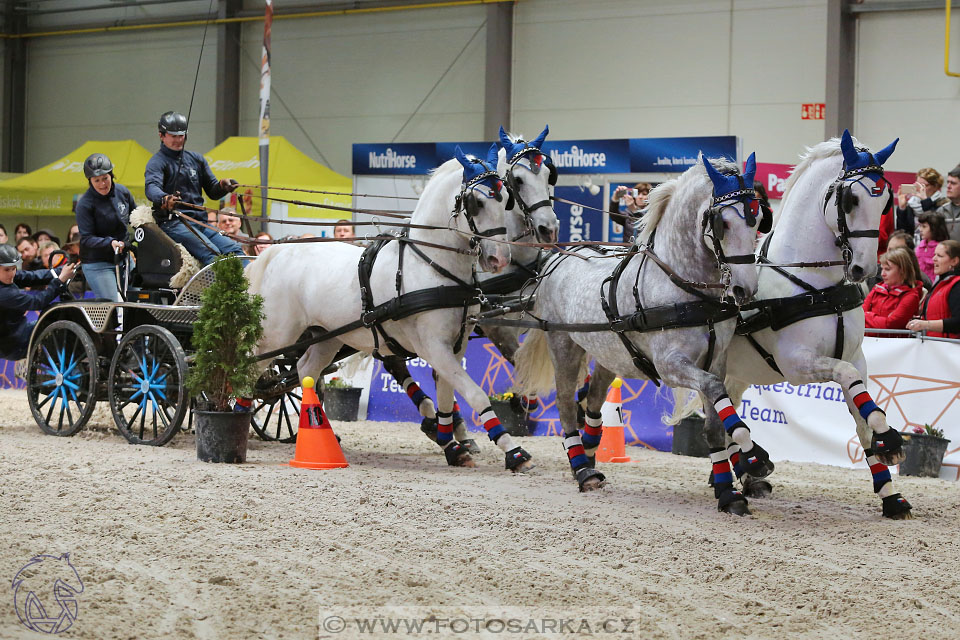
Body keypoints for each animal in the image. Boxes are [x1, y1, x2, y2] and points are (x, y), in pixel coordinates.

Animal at [244, 148, 536, 472]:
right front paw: (514, 452)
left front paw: (454, 447)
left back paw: (321, 432)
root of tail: (280, 249)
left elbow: (447, 397)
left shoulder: (455, 346)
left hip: (326, 337)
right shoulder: (433, 347)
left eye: (506, 199)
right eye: (477, 202)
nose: (499, 259)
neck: (429, 265)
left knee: (305, 370)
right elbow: (474, 393)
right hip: (276, 335)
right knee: (251, 367)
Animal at [512, 155, 768, 516]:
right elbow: (718, 397)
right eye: (723, 223)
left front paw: (727, 491)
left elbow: (716, 422)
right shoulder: (671, 366)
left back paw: (588, 454)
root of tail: (556, 259)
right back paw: (583, 469)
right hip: (562, 343)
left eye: (758, 219)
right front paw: (752, 455)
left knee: (592, 399)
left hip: (609, 353)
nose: (745, 289)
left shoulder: (715, 361)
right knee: (565, 402)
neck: (686, 289)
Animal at [668, 131, 908, 520]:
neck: (816, 285)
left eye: (886, 201)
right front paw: (889, 438)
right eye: (851, 199)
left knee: (725, 409)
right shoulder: (799, 364)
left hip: (734, 372)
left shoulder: (857, 359)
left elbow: (861, 418)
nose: (865, 269)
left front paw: (891, 493)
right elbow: (848, 382)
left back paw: (747, 475)